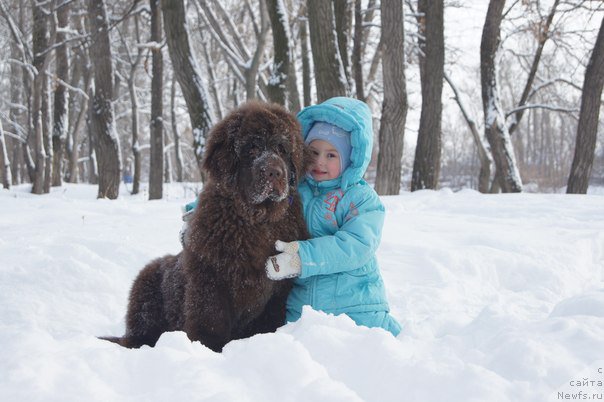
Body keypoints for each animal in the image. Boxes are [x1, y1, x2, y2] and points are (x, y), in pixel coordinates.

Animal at [101, 101, 310, 352]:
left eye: (282, 148)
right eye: (252, 147)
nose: (273, 172)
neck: (256, 221)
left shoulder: (277, 292)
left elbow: (269, 319)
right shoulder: (210, 281)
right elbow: (210, 322)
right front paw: (208, 349)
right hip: (146, 290)